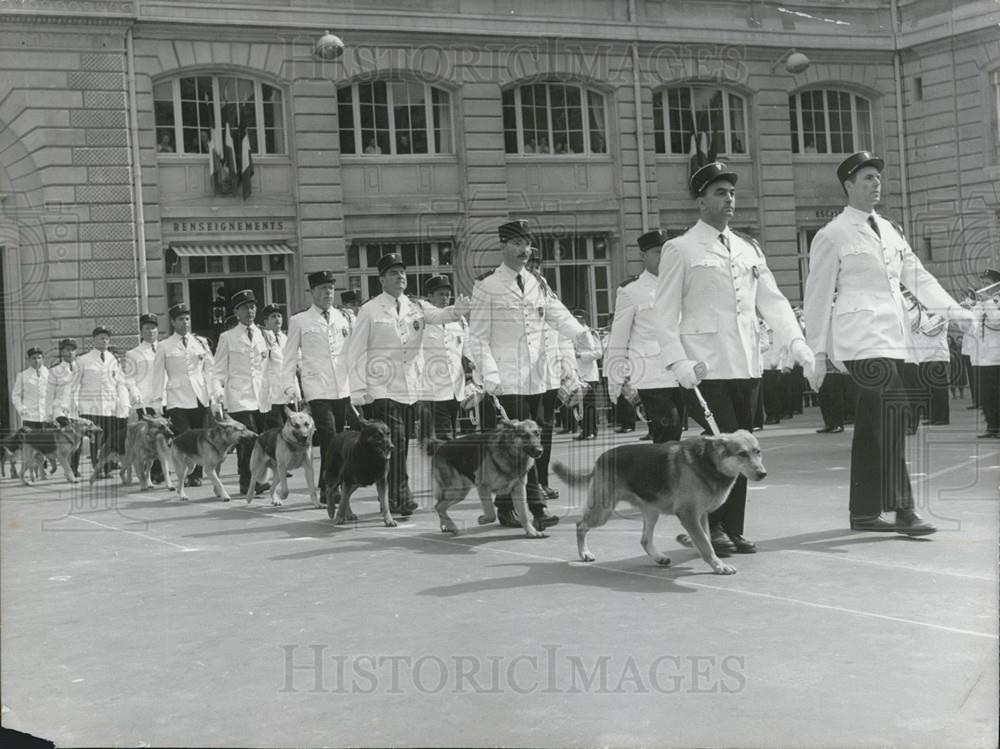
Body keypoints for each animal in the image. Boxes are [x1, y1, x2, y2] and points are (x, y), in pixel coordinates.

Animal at [552, 430, 768, 576]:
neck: (709, 462)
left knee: (645, 540)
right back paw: (584, 553)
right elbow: (705, 543)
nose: (763, 474)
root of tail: (600, 460)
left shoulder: (701, 515)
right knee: (580, 525)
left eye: (758, 452)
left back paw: (658, 557)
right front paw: (718, 565)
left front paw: (703, 553)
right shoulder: (688, 516)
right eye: (742, 454)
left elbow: (705, 538)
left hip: (651, 512)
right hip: (602, 512)